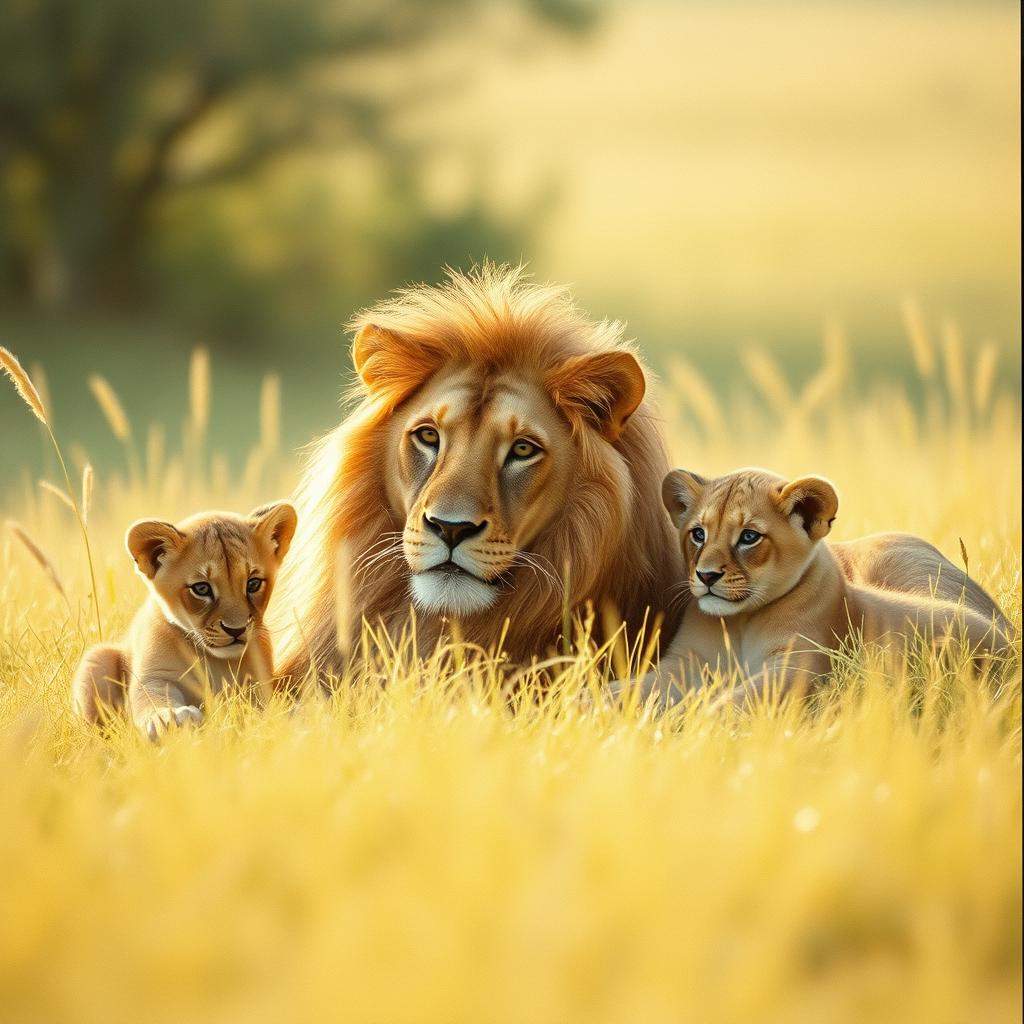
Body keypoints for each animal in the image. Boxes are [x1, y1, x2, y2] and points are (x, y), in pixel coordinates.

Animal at [72, 502, 297, 739]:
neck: (212, 660)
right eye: (201, 588)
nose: (236, 630)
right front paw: (166, 719)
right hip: (98, 658)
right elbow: (152, 698)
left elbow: (258, 706)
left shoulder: (259, 682)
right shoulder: (154, 676)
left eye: (253, 583)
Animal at [624, 466, 1010, 702]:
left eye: (749, 537)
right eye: (698, 534)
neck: (742, 621)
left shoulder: (798, 667)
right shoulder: (687, 661)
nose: (706, 576)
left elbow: (736, 702)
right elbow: (634, 689)